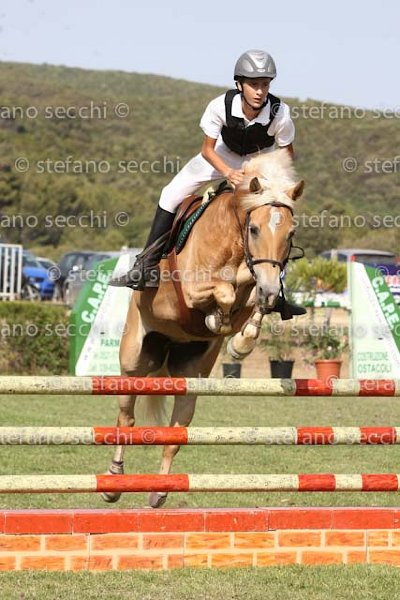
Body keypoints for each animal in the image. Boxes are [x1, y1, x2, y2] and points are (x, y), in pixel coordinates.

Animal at [103, 148, 304, 508]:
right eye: (254, 229)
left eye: (290, 234)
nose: (270, 288)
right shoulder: (192, 289)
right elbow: (223, 292)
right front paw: (218, 320)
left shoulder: (255, 288)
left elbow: (251, 301)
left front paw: (241, 342)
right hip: (133, 362)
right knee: (126, 417)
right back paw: (113, 481)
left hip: (191, 376)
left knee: (175, 433)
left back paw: (159, 491)